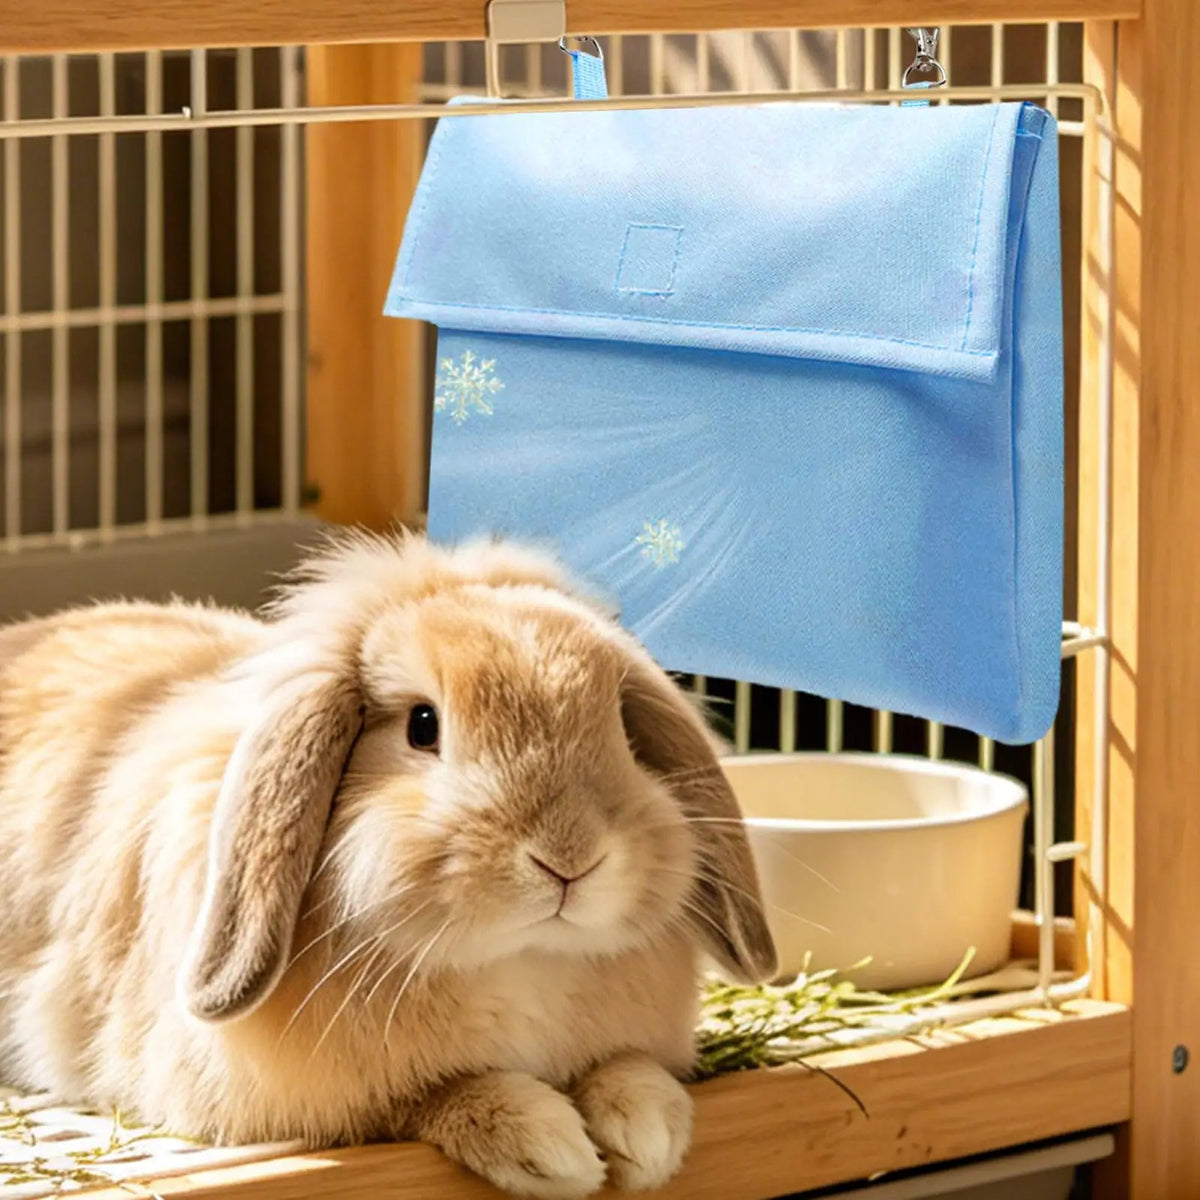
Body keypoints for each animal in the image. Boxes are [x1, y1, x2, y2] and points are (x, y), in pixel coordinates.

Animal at [0, 530, 776, 1198]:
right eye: (422, 726)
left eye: (620, 727)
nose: (569, 857)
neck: (522, 961)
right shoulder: (320, 1103)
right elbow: (427, 1095)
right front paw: (549, 1145)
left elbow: (629, 1065)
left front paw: (649, 1132)